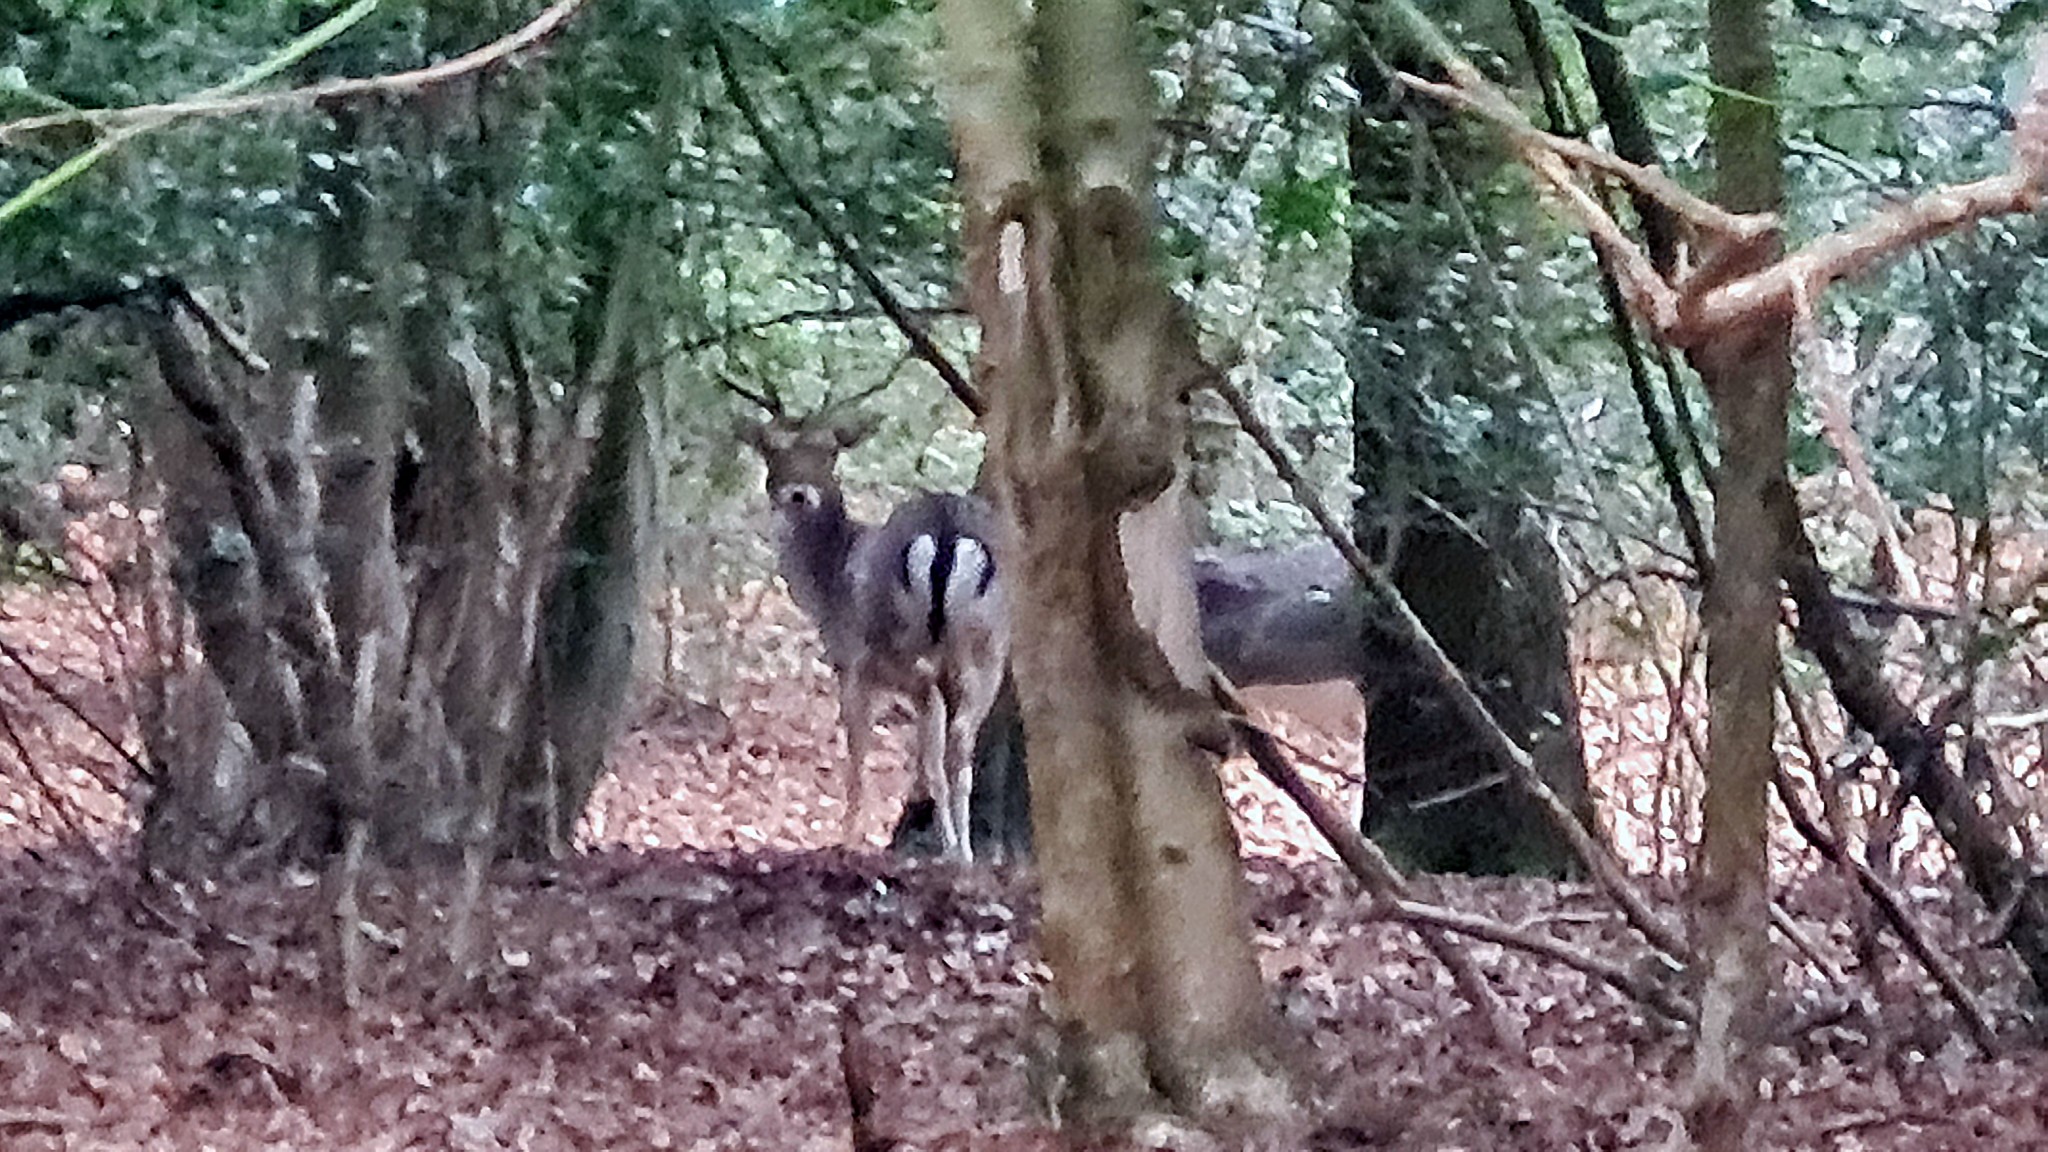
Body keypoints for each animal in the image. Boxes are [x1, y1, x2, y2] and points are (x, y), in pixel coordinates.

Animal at [733, 389, 1009, 863]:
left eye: (830, 451)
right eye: (772, 450)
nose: (799, 494)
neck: (827, 591)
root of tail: (947, 531)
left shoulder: (853, 665)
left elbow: (858, 753)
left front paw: (846, 837)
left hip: (909, 649)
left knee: (937, 751)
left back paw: (951, 848)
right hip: (988, 644)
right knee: (959, 744)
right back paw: (966, 852)